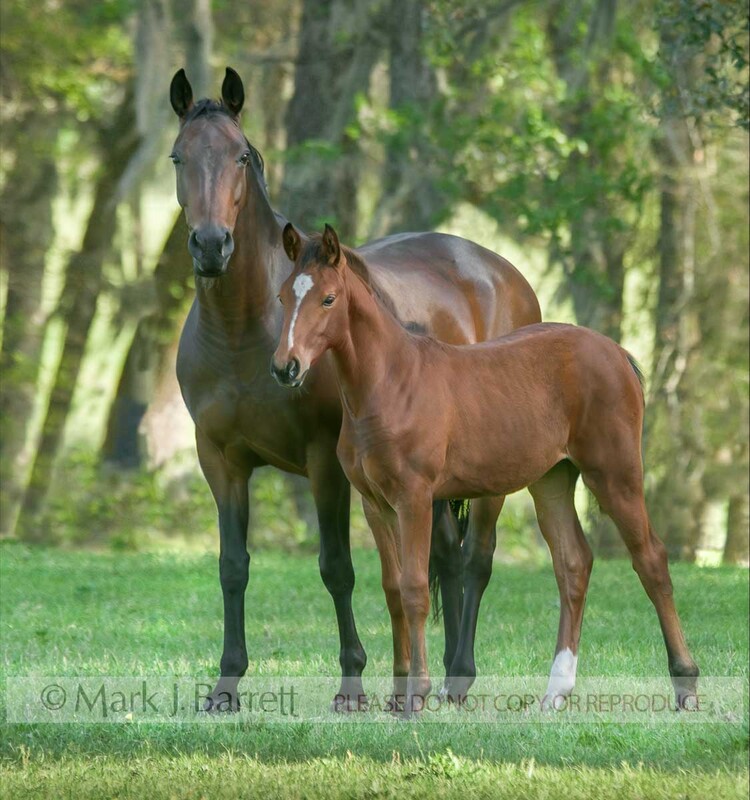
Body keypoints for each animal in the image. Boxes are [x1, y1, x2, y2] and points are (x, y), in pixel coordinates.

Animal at [168, 67, 542, 711]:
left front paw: (351, 683)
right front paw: (226, 683)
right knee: (445, 556)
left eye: (240, 155)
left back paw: (461, 674)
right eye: (178, 157)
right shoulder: (219, 459)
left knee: (476, 560)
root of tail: (501, 272)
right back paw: (442, 675)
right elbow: (233, 565)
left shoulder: (324, 459)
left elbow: (336, 567)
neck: (243, 332)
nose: (212, 245)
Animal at [271, 223, 699, 715]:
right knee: (573, 563)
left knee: (651, 559)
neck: (391, 382)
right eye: (282, 296)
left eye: (328, 299)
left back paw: (685, 684)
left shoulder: (415, 498)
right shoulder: (375, 503)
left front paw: (416, 695)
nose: (285, 367)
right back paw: (555, 692)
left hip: (615, 473)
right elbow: (393, 591)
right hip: (552, 480)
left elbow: (415, 589)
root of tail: (617, 353)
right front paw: (397, 696)